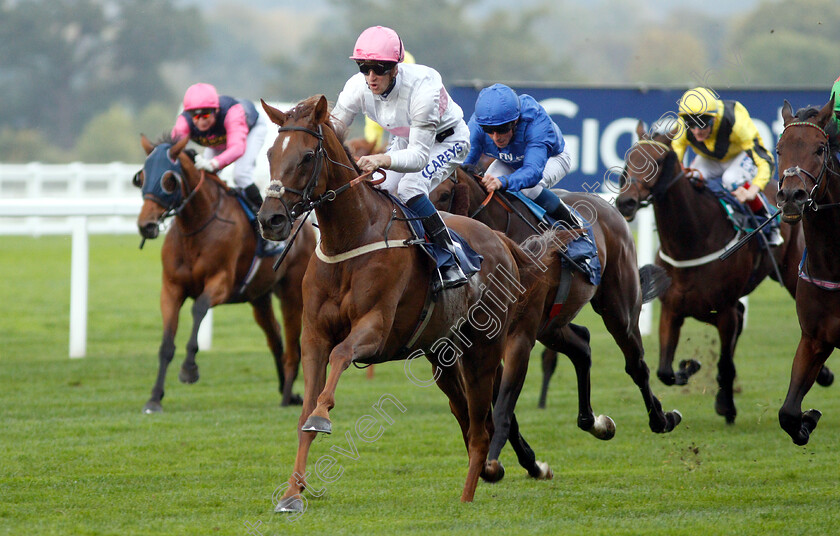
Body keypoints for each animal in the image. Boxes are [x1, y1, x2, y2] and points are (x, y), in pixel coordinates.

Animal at [136, 134, 316, 410]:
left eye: (168, 179)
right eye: (141, 176)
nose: (145, 225)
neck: (196, 227)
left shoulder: (221, 281)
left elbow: (199, 308)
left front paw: (189, 369)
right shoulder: (171, 289)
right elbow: (166, 344)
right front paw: (155, 398)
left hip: (292, 293)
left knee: (292, 347)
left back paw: (288, 397)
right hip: (259, 297)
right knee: (275, 338)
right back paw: (286, 391)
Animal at [256, 96, 556, 510]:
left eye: (306, 156)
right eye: (271, 152)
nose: (270, 220)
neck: (350, 239)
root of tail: (499, 240)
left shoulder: (377, 328)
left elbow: (341, 356)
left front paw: (323, 415)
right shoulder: (313, 335)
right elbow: (304, 414)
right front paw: (291, 494)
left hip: (482, 351)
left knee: (482, 428)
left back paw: (468, 498)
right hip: (442, 357)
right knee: (468, 422)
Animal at [430, 170, 680, 438]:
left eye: (444, 194)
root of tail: (610, 208)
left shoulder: (520, 330)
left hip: (619, 309)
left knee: (636, 364)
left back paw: (661, 419)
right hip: (550, 326)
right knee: (582, 345)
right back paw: (595, 421)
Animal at [612, 120, 836, 422]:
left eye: (658, 161)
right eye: (628, 158)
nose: (625, 202)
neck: (691, 240)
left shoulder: (724, 311)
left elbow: (725, 364)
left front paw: (726, 405)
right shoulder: (671, 310)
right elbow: (665, 371)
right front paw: (689, 367)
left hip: (791, 274)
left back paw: (823, 373)